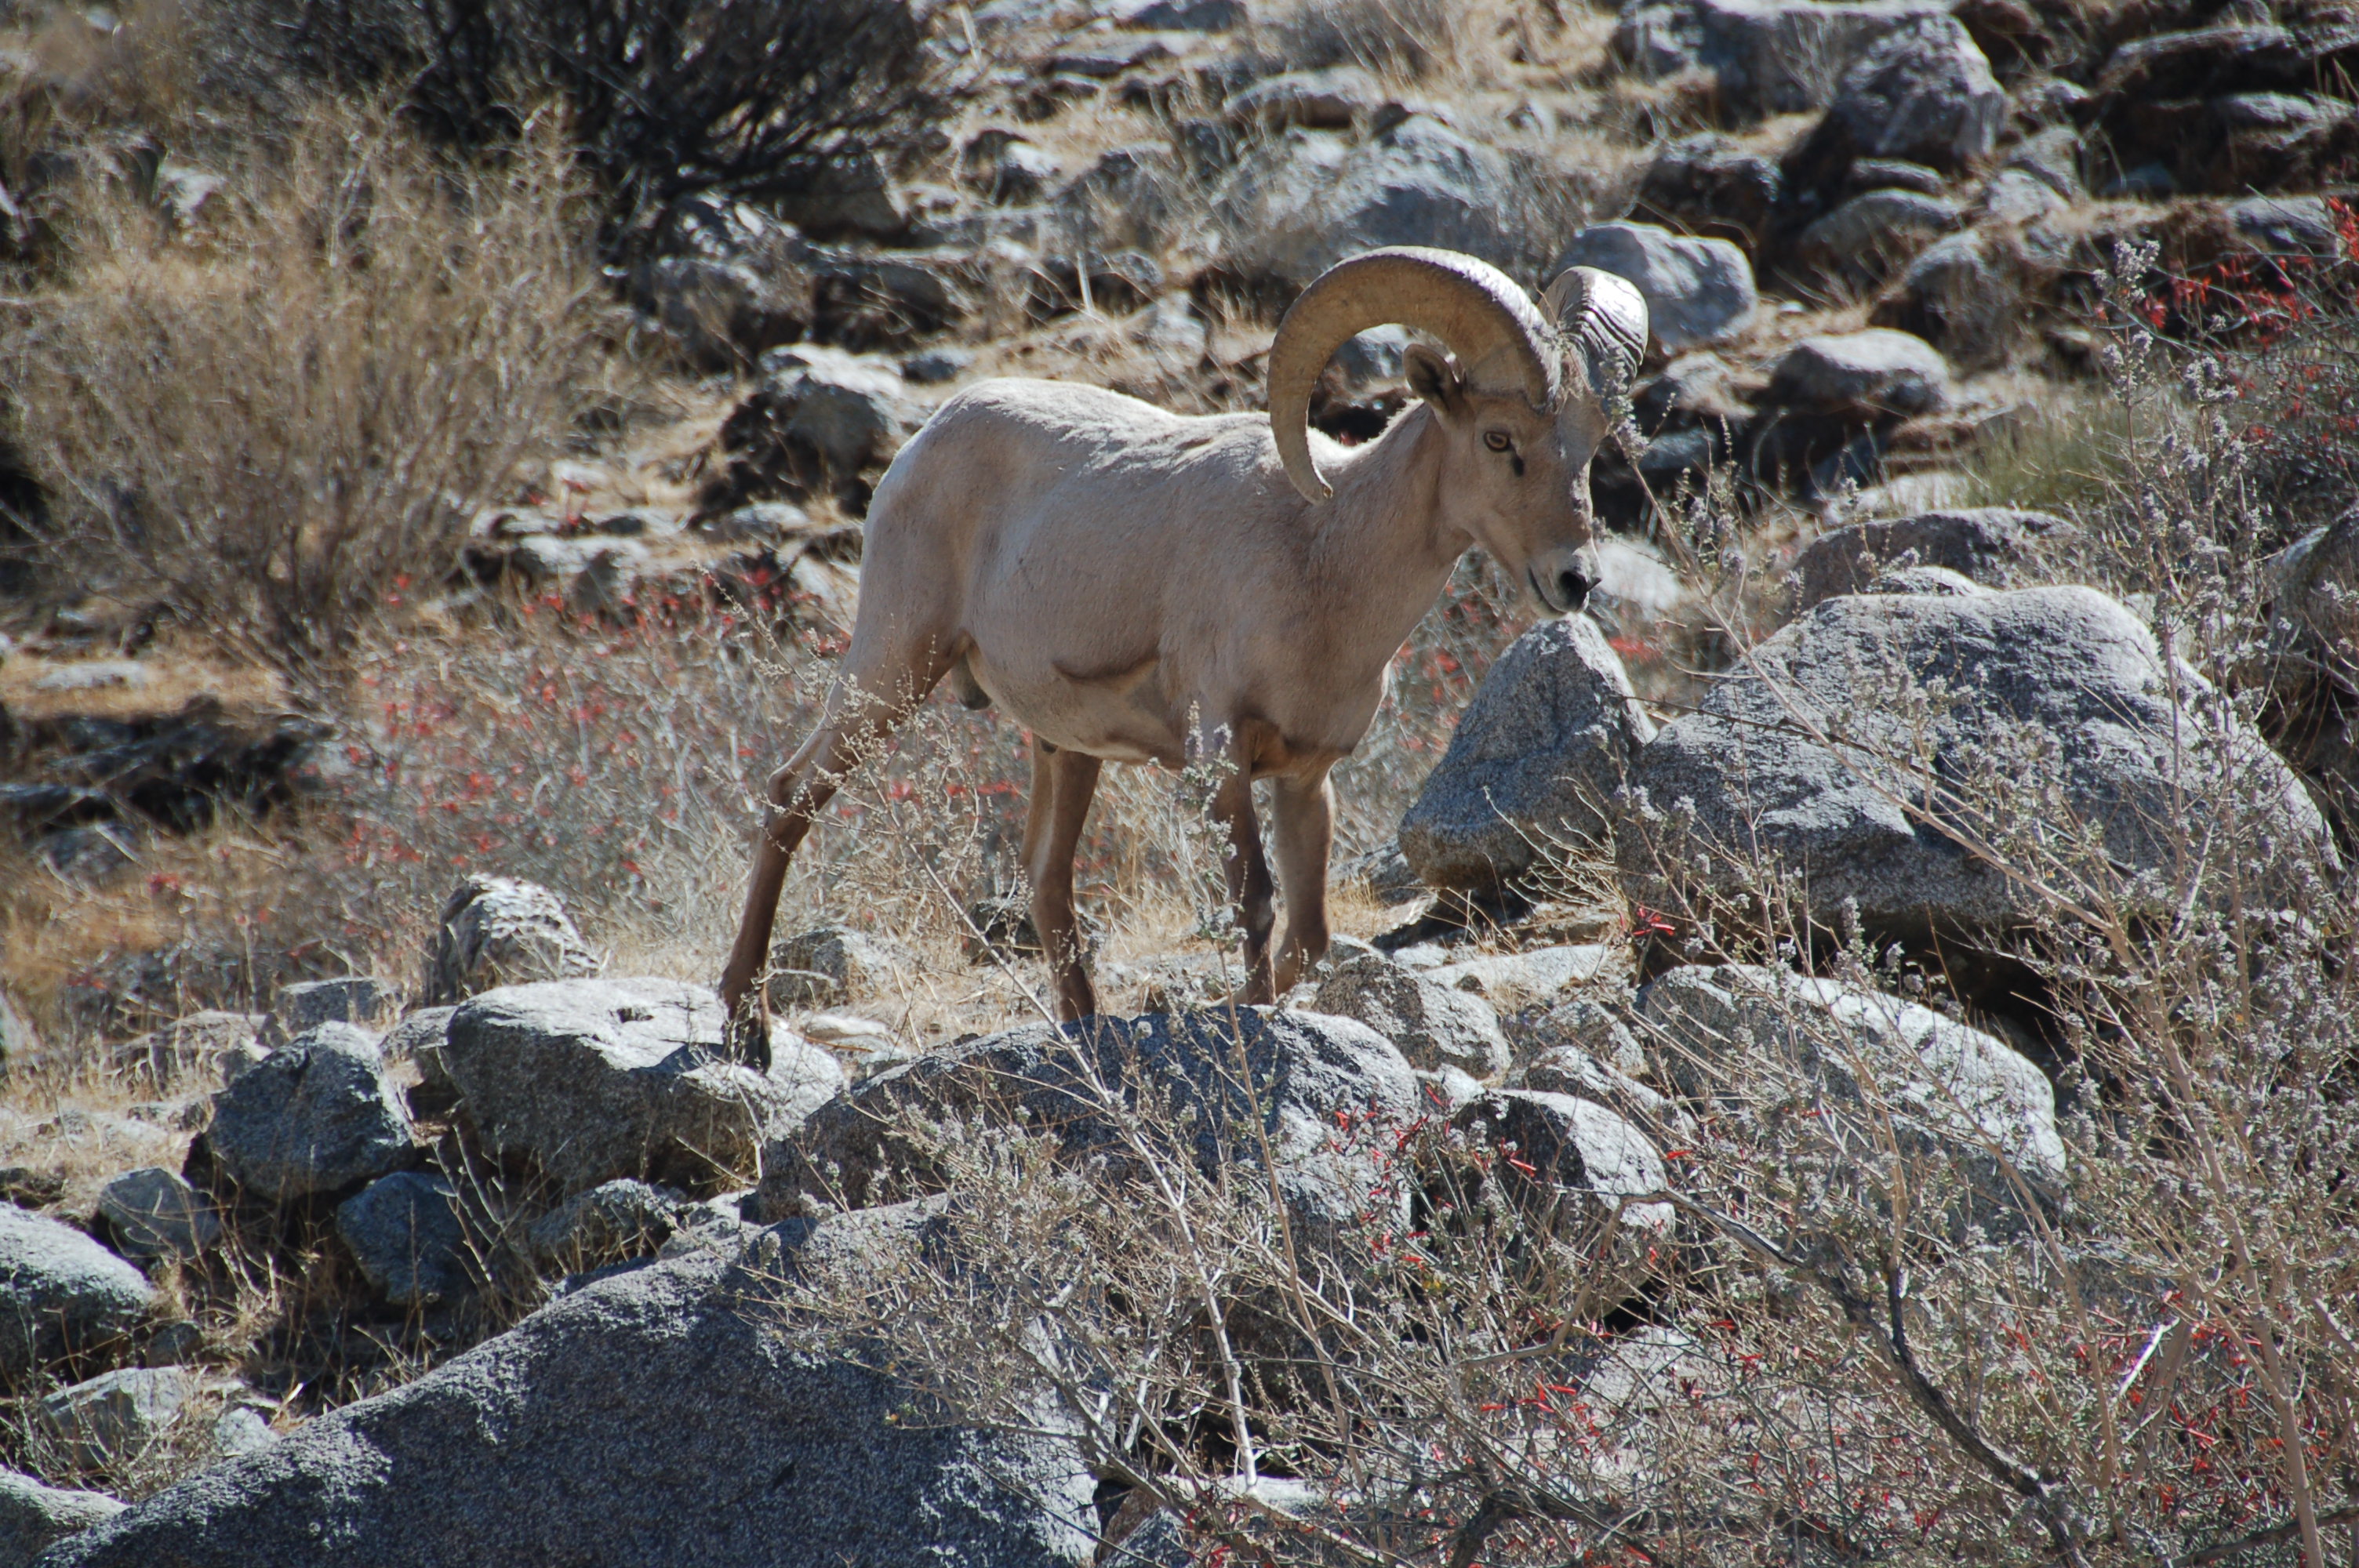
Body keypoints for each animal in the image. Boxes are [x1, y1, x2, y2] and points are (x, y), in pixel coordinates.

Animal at [707, 245, 1651, 1056]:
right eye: (1498, 440)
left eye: (1586, 446)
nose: (1574, 580)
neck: (1323, 559)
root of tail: (920, 444)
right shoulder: (1221, 757)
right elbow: (1255, 906)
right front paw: (1250, 1022)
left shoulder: (1306, 778)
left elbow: (1308, 934)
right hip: (893, 667)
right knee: (791, 796)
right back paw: (746, 1030)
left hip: (1063, 749)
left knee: (1046, 882)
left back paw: (1082, 1036)